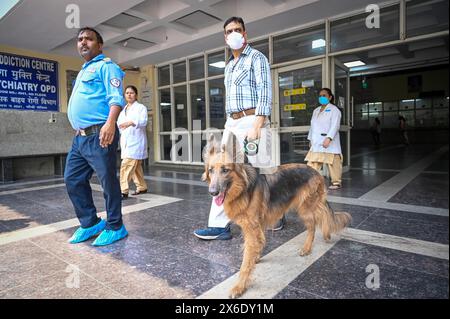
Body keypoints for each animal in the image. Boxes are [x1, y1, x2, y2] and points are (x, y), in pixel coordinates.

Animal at [202, 136, 354, 300]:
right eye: (211, 170)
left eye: (225, 170)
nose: (213, 192)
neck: (244, 188)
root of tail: (315, 172)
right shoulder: (258, 225)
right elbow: (258, 244)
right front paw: (256, 257)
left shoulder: (251, 229)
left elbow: (245, 263)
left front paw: (239, 287)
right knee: (323, 216)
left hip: (305, 209)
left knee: (314, 225)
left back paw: (308, 247)